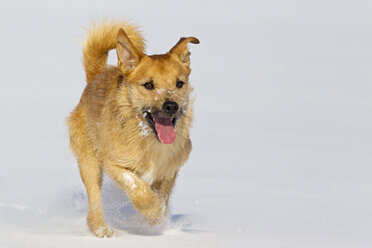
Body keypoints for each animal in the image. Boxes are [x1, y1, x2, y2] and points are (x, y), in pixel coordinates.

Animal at [68, 20, 199, 237]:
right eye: (148, 85)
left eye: (179, 83)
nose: (171, 106)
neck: (148, 139)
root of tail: (97, 75)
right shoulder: (113, 162)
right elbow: (138, 188)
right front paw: (152, 210)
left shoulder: (169, 171)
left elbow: (163, 197)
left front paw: (156, 218)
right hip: (89, 160)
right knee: (94, 198)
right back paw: (101, 229)